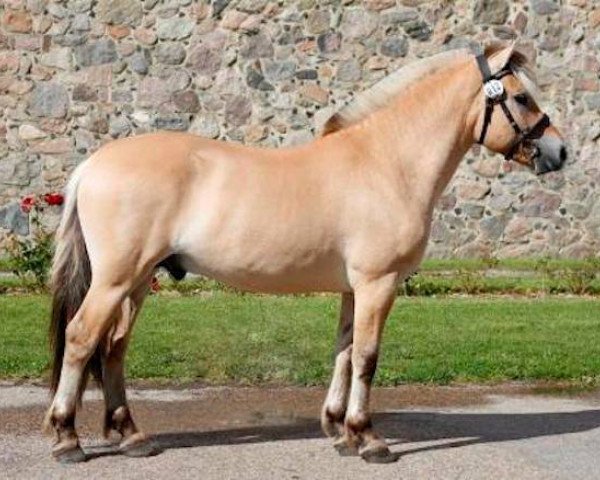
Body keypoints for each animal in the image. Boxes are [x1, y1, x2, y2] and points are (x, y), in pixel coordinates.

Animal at [43, 43, 568, 464]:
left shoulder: (355, 288)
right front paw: (369, 439)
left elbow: (345, 351)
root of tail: (92, 164)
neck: (387, 162)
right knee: (82, 338)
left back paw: (132, 435)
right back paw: (68, 439)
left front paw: (340, 431)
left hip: (137, 282)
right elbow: (367, 357)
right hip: (115, 279)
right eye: (521, 97)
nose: (559, 152)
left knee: (114, 347)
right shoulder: (378, 283)